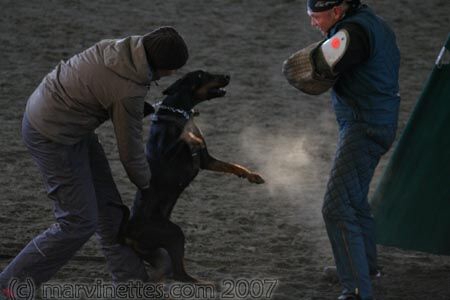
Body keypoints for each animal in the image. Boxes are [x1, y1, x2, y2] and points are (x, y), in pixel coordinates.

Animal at [121, 71, 266, 282]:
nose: (227, 75)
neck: (179, 110)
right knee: (180, 274)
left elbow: (231, 165)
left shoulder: (206, 160)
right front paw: (190, 134)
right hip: (173, 233)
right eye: (201, 75)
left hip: (155, 252)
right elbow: (185, 139)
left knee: (164, 273)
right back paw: (204, 283)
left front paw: (251, 175)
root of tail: (128, 233)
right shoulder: (168, 152)